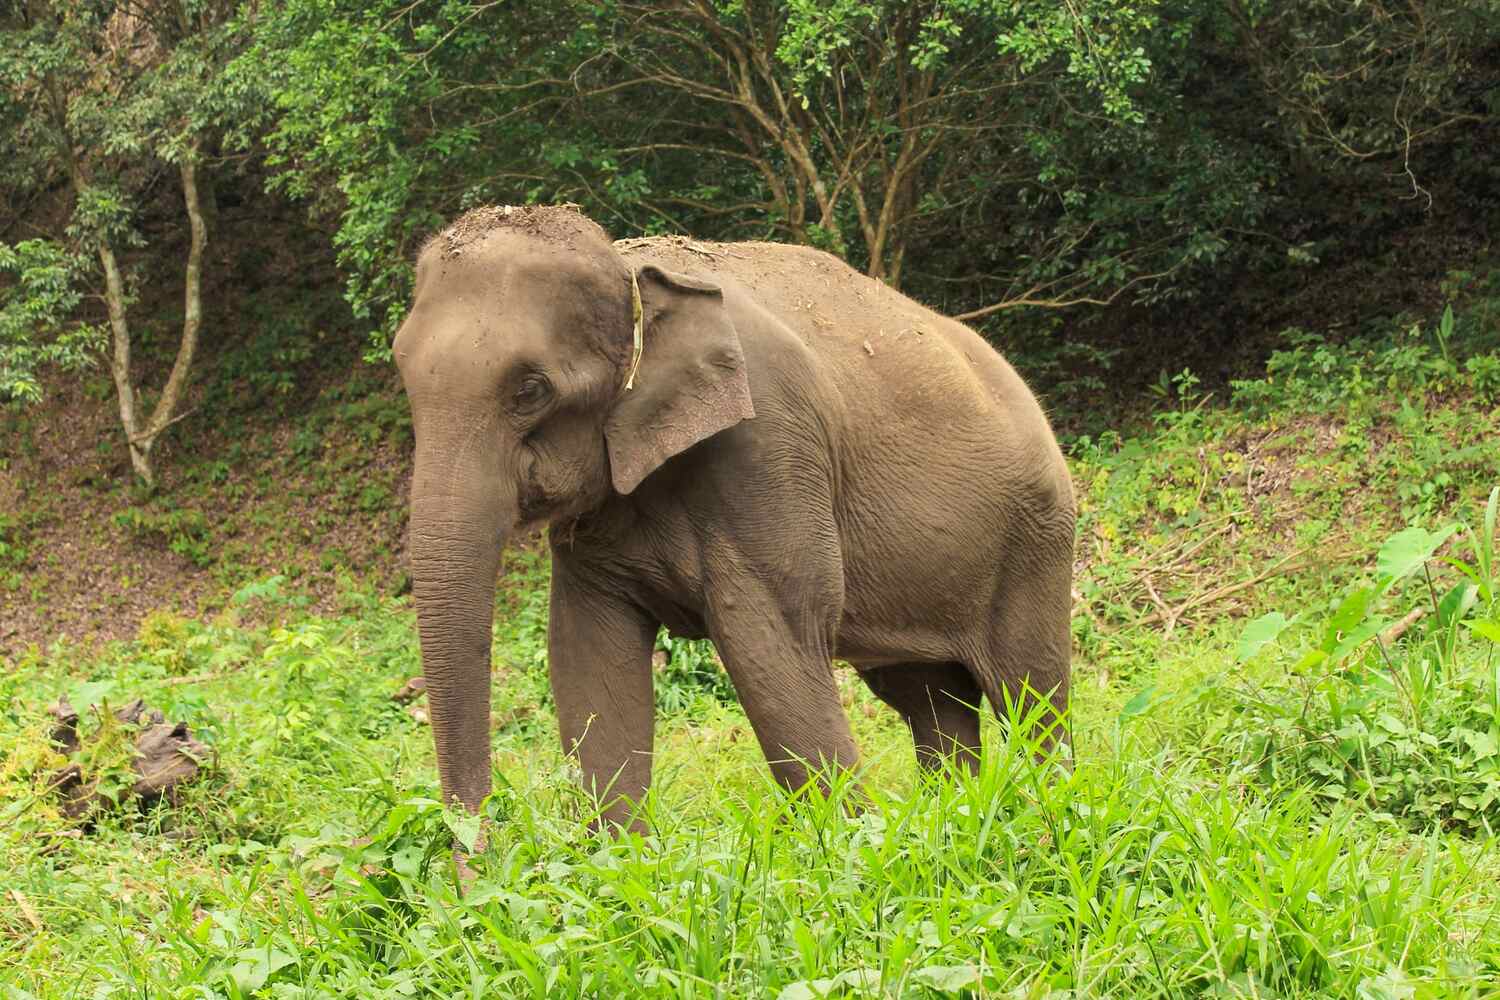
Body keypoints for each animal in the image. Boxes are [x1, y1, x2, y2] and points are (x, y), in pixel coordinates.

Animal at [396, 205, 1080, 827]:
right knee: (930, 700)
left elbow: (771, 636)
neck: (630, 268)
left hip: (1035, 542)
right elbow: (587, 648)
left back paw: (1048, 808)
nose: (477, 847)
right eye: (402, 372)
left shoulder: (768, 445)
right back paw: (956, 814)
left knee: (1030, 696)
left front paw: (854, 842)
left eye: (530, 390)